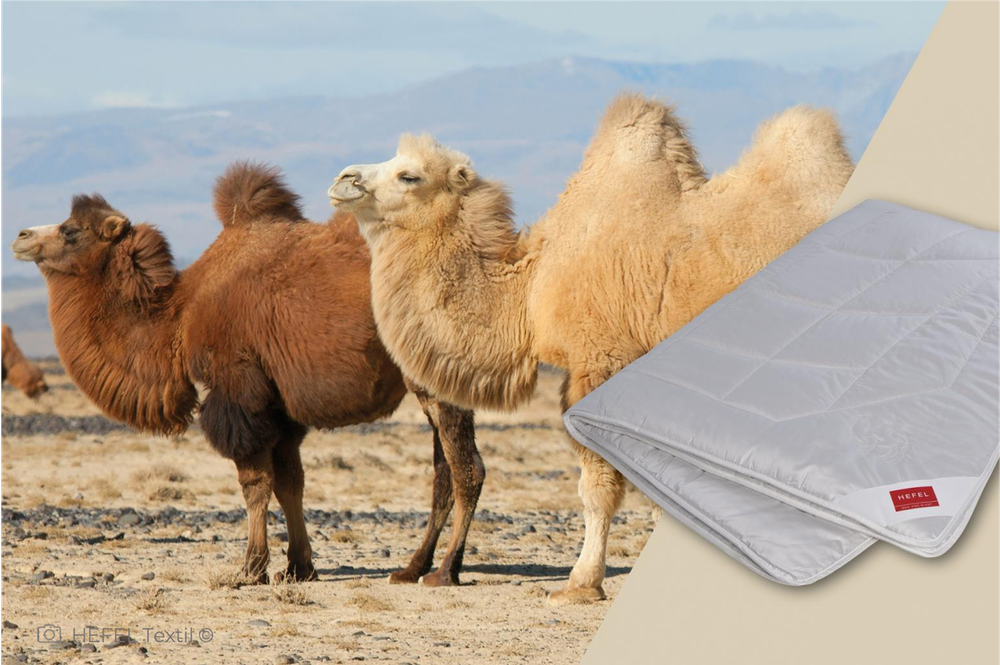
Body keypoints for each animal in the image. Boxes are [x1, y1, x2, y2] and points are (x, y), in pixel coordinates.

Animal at [12, 163, 484, 587]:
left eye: (71, 231)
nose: (20, 236)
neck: (180, 314)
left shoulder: (238, 386)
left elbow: (255, 481)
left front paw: (250, 568)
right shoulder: (279, 402)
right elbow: (291, 481)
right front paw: (298, 567)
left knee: (467, 469)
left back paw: (444, 572)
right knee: (444, 471)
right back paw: (411, 568)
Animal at [330, 93, 854, 605]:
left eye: (410, 175)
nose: (343, 179)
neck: (530, 289)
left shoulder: (600, 361)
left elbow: (597, 484)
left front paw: (581, 584)